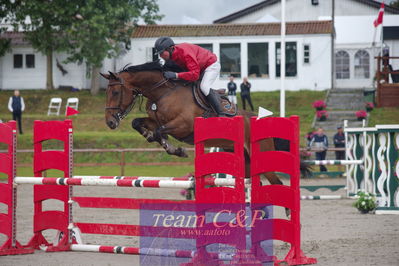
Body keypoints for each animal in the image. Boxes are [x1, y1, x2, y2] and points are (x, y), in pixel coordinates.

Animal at [100, 60, 310, 189]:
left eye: (116, 93)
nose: (110, 122)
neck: (163, 93)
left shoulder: (183, 126)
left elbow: (161, 131)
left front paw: (175, 149)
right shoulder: (155, 119)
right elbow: (138, 123)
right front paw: (150, 136)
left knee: (277, 183)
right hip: (245, 160)